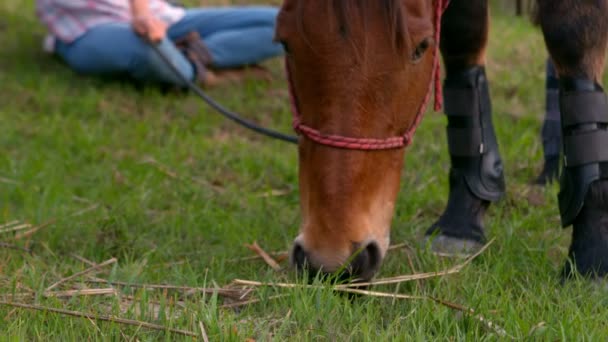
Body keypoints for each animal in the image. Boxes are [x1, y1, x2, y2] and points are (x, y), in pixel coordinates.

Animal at [276, 0, 608, 282]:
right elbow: (463, 32)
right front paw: (460, 222)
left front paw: (591, 254)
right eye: (285, 43)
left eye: (421, 47)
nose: (332, 260)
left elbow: (570, 37)